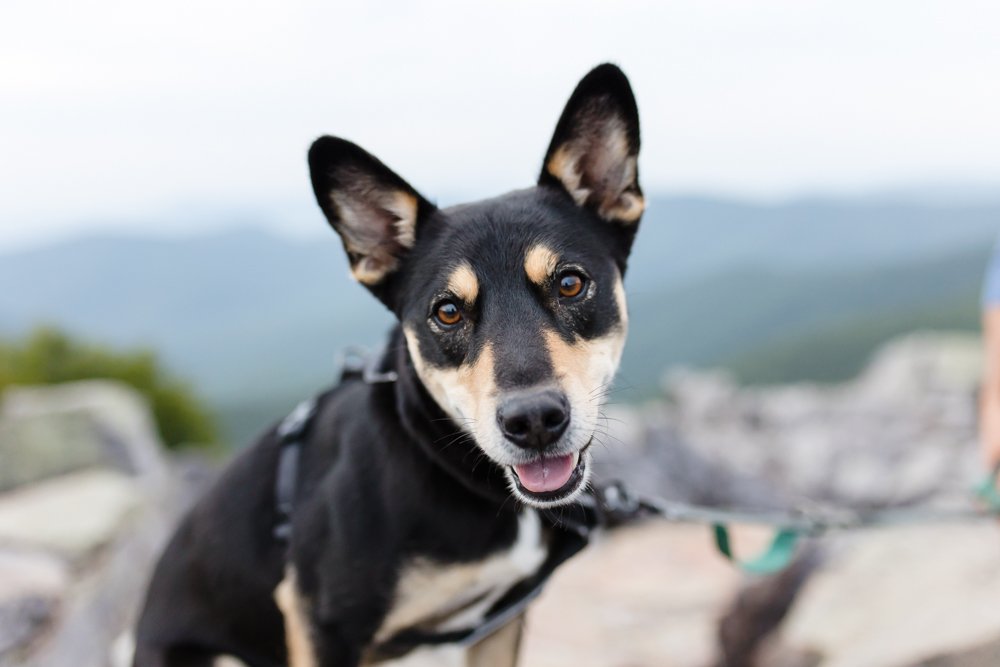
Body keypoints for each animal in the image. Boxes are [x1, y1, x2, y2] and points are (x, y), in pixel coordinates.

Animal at [133, 64, 644, 667]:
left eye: (569, 283)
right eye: (447, 311)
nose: (534, 421)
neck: (444, 457)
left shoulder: (501, 619)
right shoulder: (321, 622)